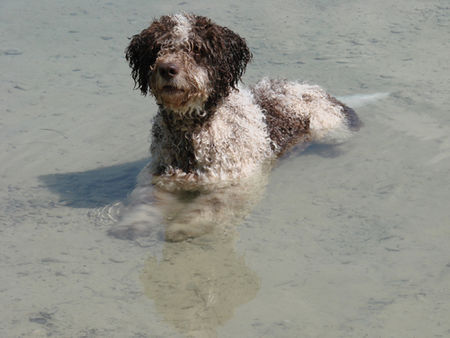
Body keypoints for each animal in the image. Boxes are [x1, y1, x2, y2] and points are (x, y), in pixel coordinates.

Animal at [110, 13, 362, 240]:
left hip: (330, 128)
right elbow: (146, 199)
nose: (167, 69)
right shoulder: (160, 176)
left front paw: (184, 226)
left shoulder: (237, 181)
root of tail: (311, 87)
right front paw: (134, 223)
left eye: (197, 50)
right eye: (158, 48)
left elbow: (211, 204)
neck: (191, 133)